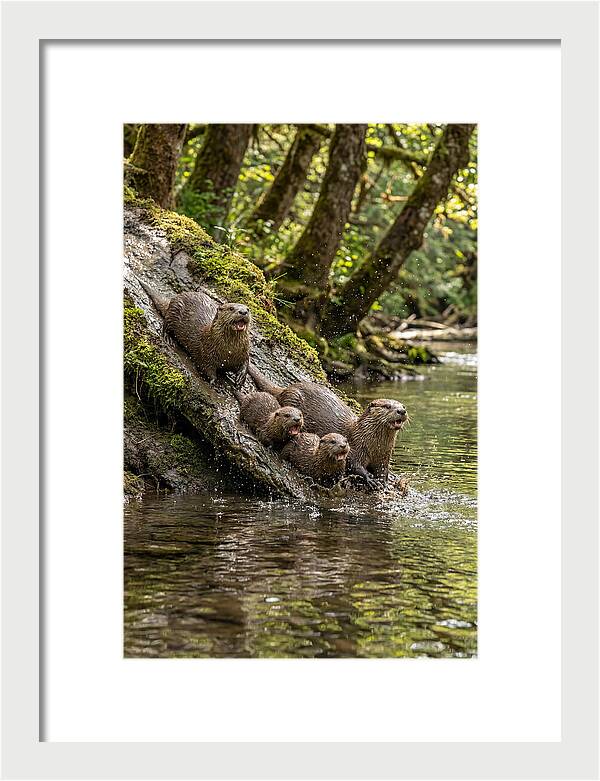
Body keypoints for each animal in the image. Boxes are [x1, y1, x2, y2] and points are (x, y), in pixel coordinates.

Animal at [248, 365, 407, 489]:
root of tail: (286, 389)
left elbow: (383, 470)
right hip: (292, 400)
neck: (374, 445)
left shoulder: (384, 456)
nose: (402, 411)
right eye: (388, 406)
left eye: (403, 405)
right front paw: (370, 479)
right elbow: (355, 465)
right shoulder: (356, 448)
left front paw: (384, 481)